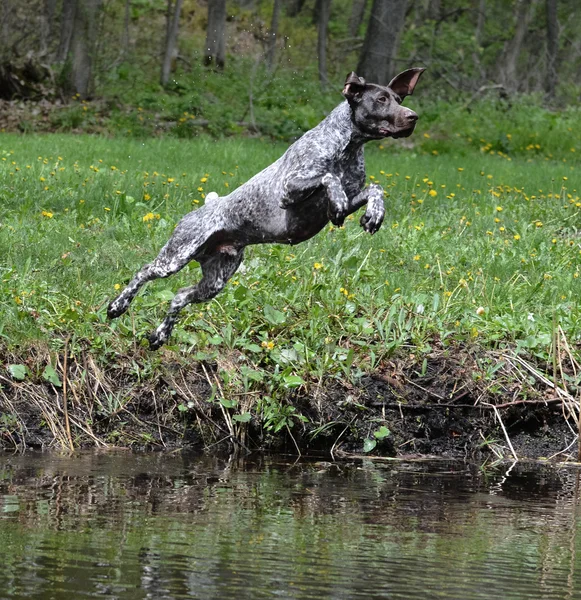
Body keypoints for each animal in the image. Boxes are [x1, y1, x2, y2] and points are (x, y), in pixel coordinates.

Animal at [107, 67, 426, 346]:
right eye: (381, 99)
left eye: (399, 100)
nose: (414, 117)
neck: (347, 147)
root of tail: (207, 205)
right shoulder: (289, 189)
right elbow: (328, 177)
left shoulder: (347, 200)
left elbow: (374, 189)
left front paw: (375, 214)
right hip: (176, 257)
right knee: (144, 272)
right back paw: (118, 305)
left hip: (214, 282)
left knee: (179, 296)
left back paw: (160, 334)